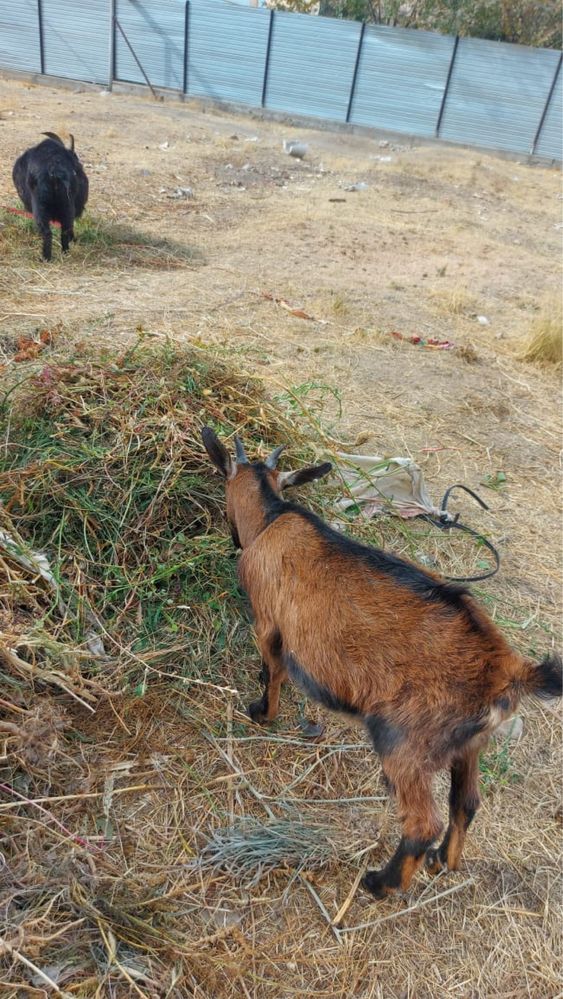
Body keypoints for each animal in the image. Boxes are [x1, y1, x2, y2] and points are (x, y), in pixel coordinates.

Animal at [11, 135, 88, 264]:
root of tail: (54, 171)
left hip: (41, 208)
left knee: (48, 232)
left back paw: (45, 257)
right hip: (67, 208)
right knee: (65, 230)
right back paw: (64, 253)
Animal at [200, 428, 560, 900]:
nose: (229, 538)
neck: (272, 517)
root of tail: (510, 670)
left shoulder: (268, 621)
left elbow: (274, 671)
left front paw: (262, 713)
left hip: (403, 740)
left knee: (423, 821)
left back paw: (381, 883)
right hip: (470, 746)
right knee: (465, 803)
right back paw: (443, 861)